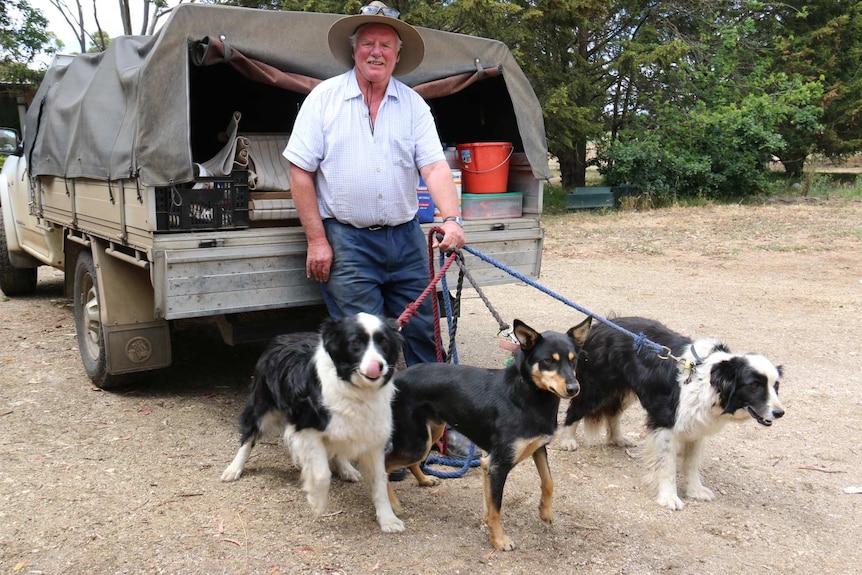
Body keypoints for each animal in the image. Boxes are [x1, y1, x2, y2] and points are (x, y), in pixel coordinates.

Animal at [223, 312, 404, 532]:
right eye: (356, 342)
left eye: (384, 341)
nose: (378, 366)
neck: (354, 388)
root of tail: (283, 336)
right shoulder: (307, 428)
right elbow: (321, 473)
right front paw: (317, 501)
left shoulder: (374, 436)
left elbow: (380, 480)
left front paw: (388, 519)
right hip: (263, 406)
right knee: (249, 435)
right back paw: (234, 468)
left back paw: (346, 469)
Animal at [556, 318, 788, 510]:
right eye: (754, 385)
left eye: (776, 385)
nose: (780, 413)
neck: (706, 380)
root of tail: (601, 325)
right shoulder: (665, 422)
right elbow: (667, 466)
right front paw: (669, 498)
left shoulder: (697, 426)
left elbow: (692, 463)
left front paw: (695, 490)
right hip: (596, 387)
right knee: (575, 408)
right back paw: (567, 440)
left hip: (625, 388)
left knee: (613, 413)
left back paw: (617, 438)